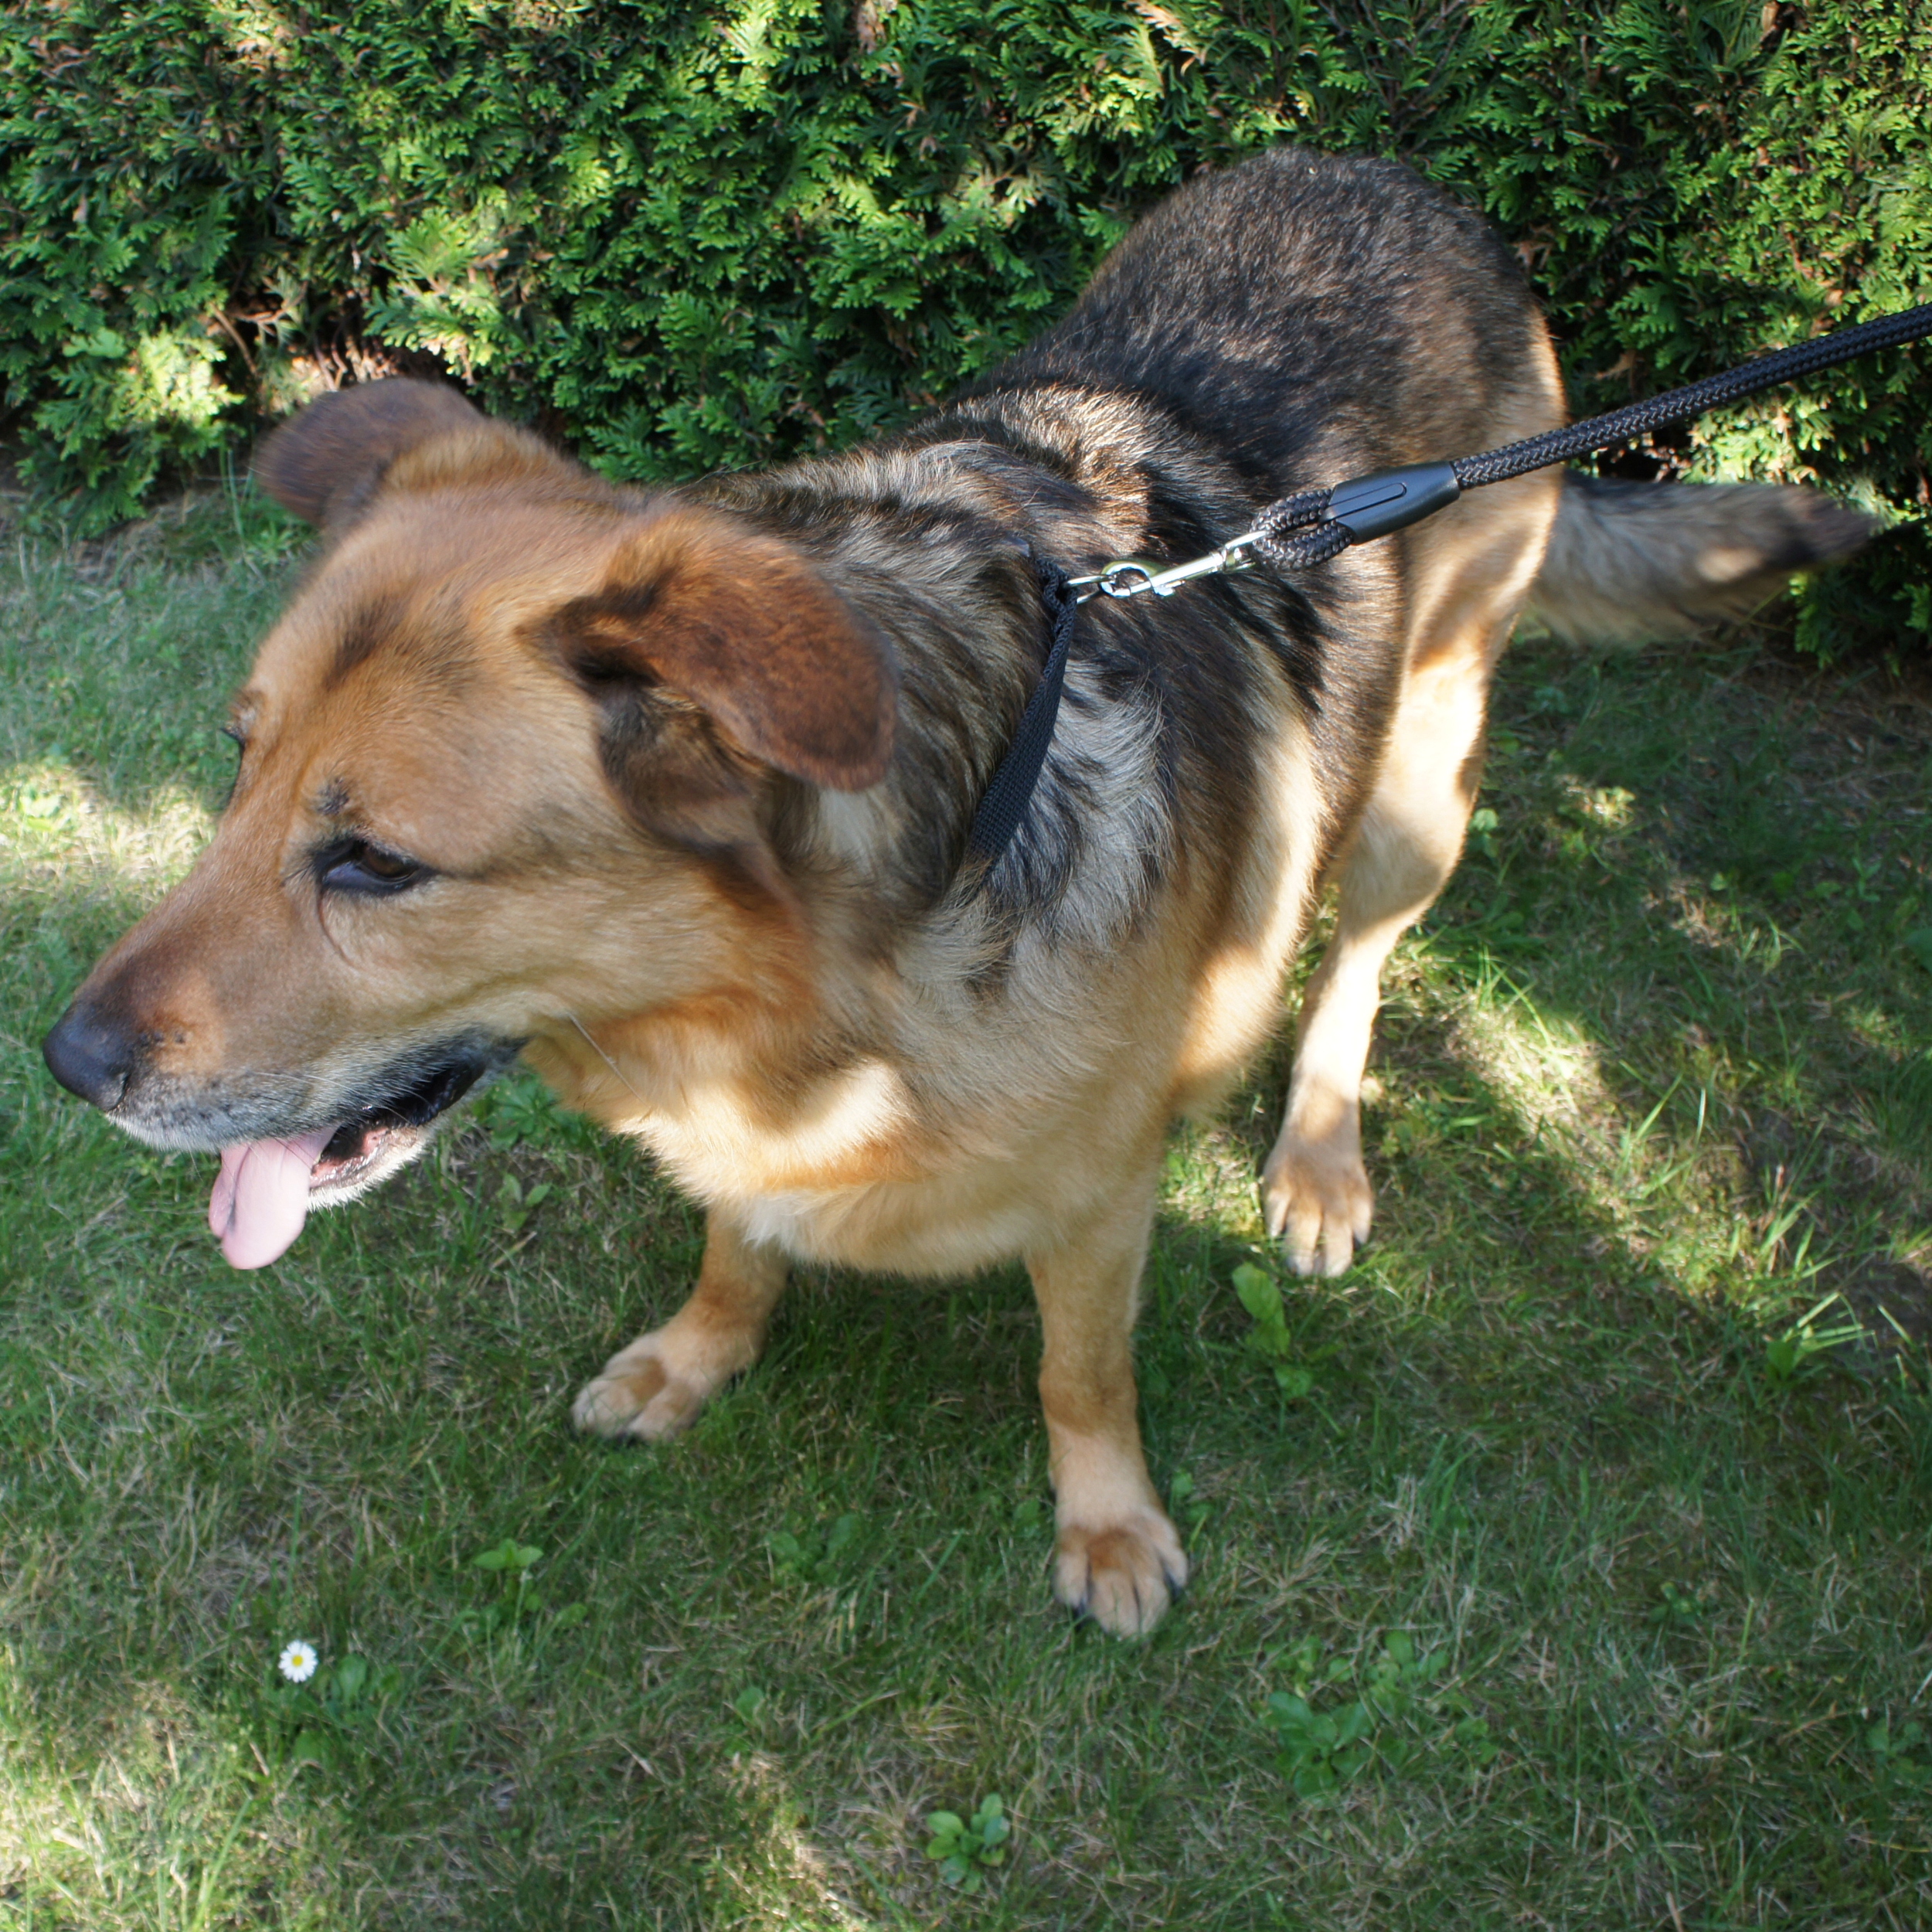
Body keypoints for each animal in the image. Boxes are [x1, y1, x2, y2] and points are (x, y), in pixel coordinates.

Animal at [43, 150, 1870, 1635]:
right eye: (235, 768)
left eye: (377, 862)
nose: (65, 1065)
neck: (819, 994)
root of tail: (1398, 179)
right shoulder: (746, 1134)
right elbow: (735, 1250)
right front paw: (696, 1354)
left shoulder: (1099, 1200)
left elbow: (1081, 1372)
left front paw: (1108, 1525)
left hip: (1420, 777)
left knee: (1358, 955)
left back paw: (1317, 1156)